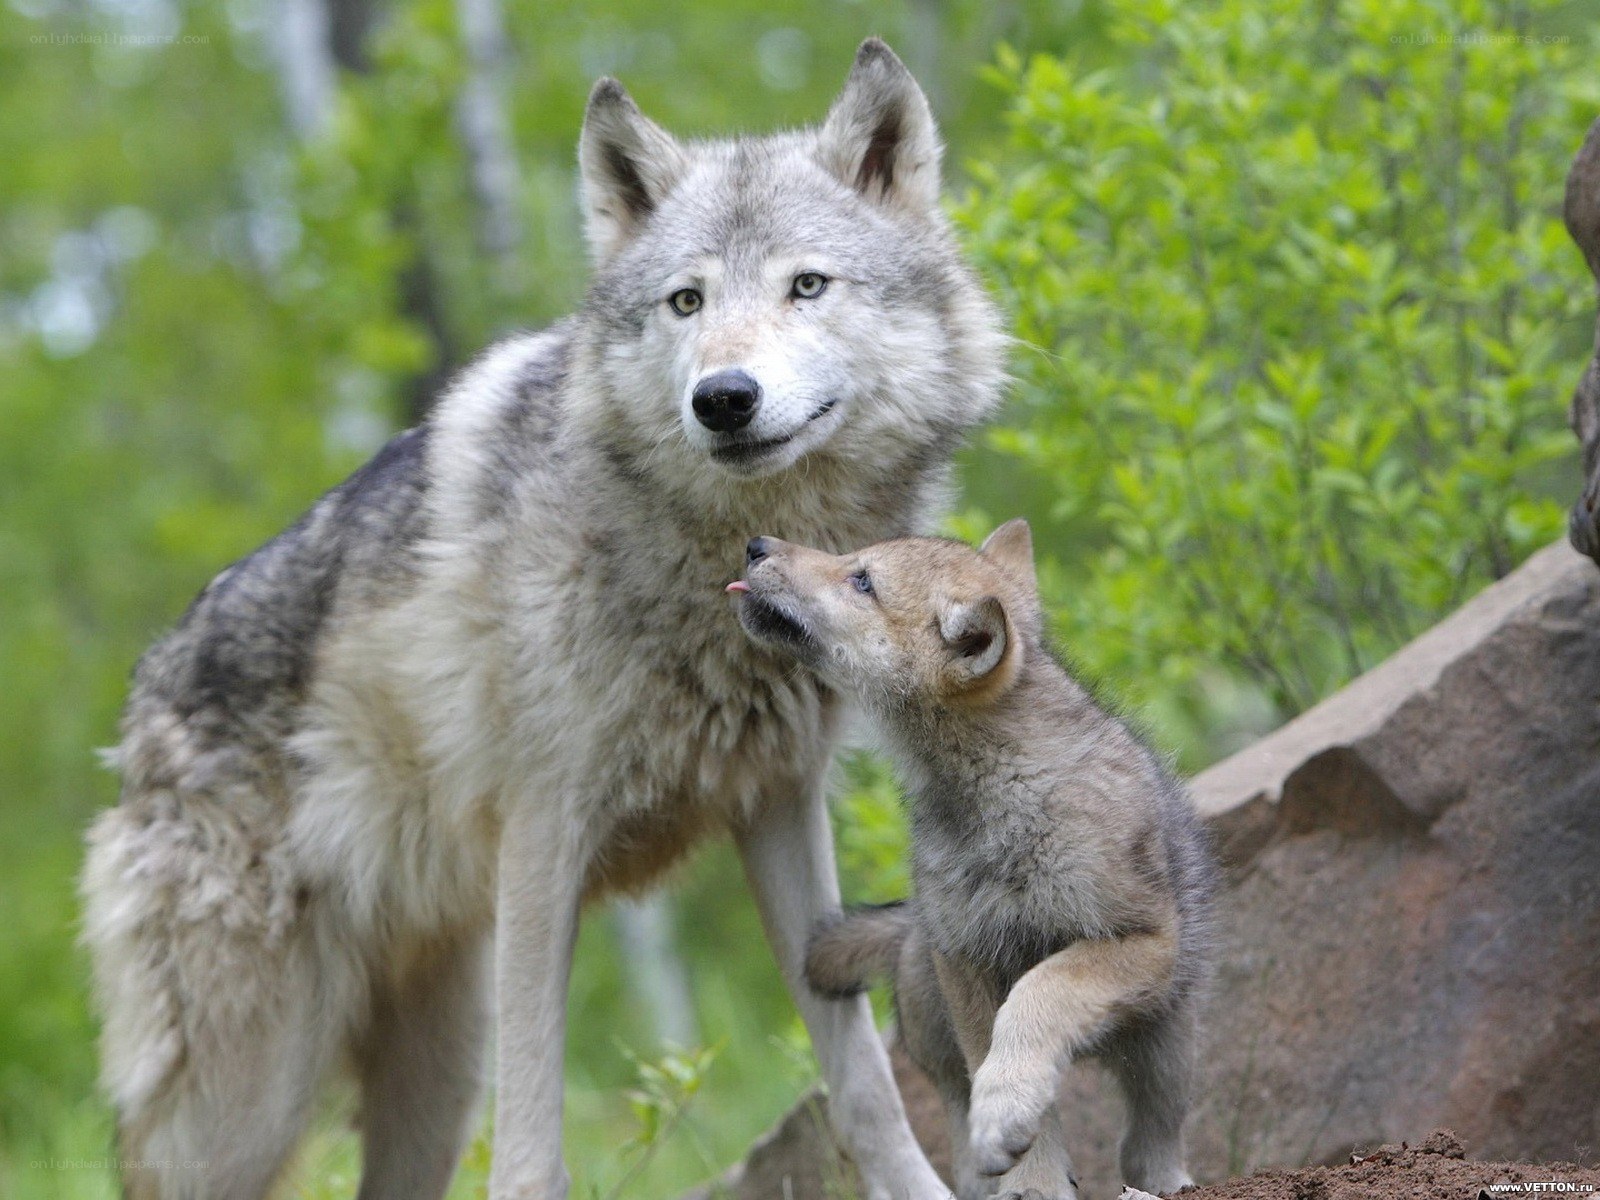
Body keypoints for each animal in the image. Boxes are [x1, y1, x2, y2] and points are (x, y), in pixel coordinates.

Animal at [80, 40, 1005, 1200]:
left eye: (807, 285)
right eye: (686, 301)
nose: (724, 398)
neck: (715, 566)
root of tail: (140, 705)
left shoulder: (780, 807)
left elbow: (864, 1089)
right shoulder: (542, 839)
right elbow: (531, 1147)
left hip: (433, 1071)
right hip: (247, 1099)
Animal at [727, 521, 1215, 1200]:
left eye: (862, 580)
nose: (756, 544)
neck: (997, 792)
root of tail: (909, 928)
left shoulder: (1139, 939)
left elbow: (1041, 993)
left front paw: (1008, 1116)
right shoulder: (967, 959)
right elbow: (998, 1059)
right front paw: (1029, 1178)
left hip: (1166, 1045)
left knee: (1150, 1141)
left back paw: (1166, 1182)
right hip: (939, 1027)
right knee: (961, 1135)